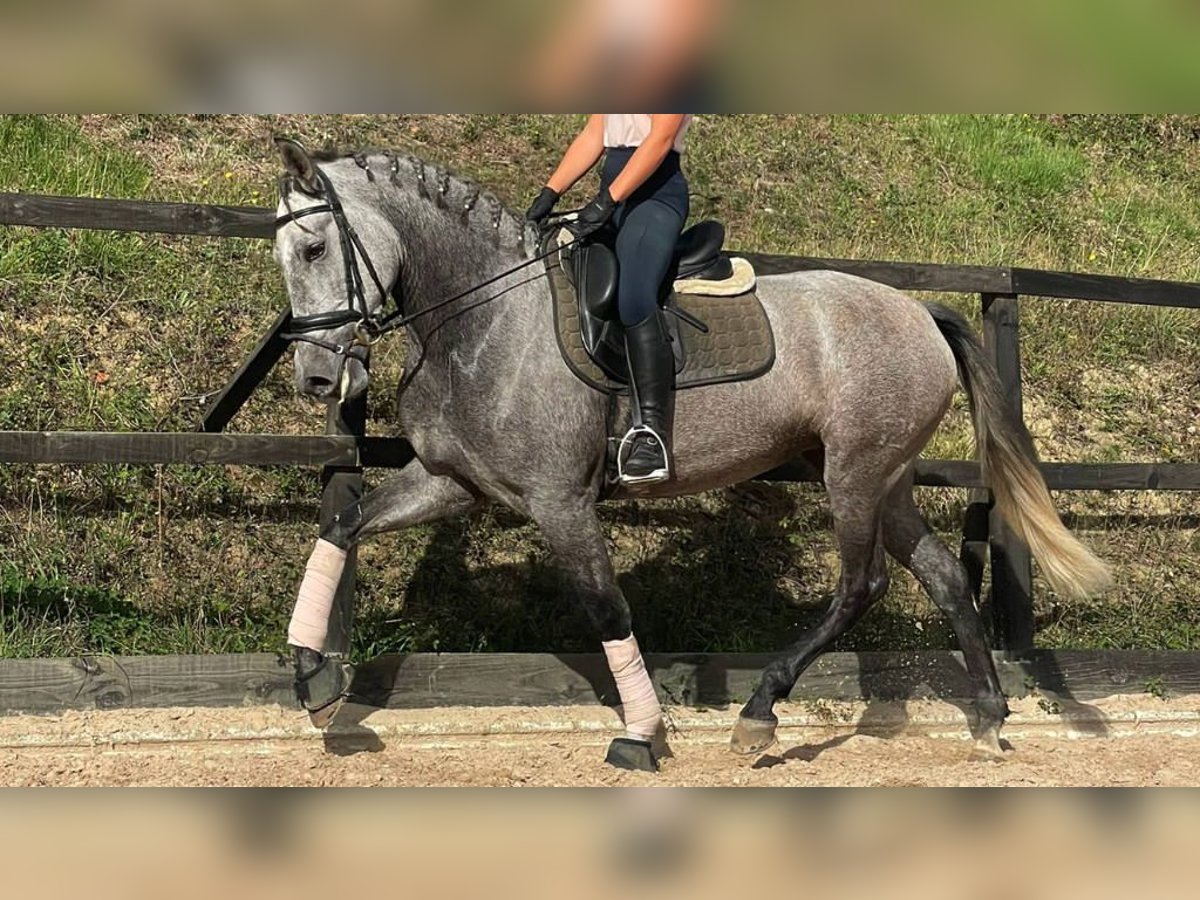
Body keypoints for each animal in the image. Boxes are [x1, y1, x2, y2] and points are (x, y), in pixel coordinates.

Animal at [274, 141, 1113, 777]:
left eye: (313, 247)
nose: (315, 377)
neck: (483, 318)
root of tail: (917, 309)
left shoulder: (560, 500)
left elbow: (607, 609)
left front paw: (640, 735)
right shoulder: (452, 482)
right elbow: (341, 528)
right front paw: (313, 676)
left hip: (853, 474)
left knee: (862, 583)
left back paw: (761, 712)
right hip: (887, 478)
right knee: (941, 577)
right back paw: (990, 717)